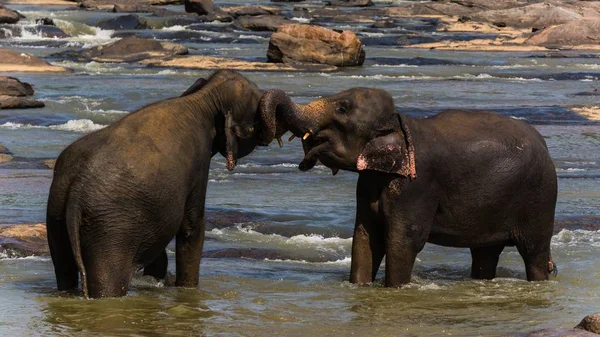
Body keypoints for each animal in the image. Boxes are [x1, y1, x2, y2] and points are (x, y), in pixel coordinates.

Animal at [45, 70, 278, 296]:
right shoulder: (198, 164)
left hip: (57, 213)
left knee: (64, 269)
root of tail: (78, 187)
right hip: (110, 229)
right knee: (108, 280)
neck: (202, 99)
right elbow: (192, 227)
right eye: (254, 122)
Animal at [260, 86, 560, 286]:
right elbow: (365, 237)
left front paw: (394, 289)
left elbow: (403, 240)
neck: (398, 123)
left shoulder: (417, 185)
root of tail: (546, 147)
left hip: (540, 197)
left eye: (342, 109)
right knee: (485, 253)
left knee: (533, 252)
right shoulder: (369, 182)